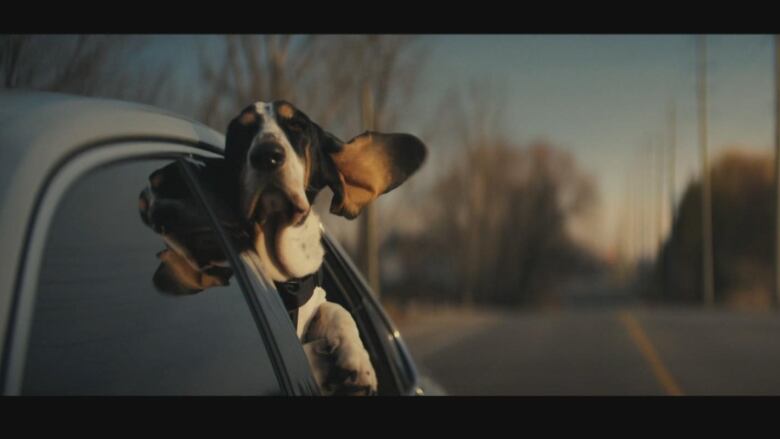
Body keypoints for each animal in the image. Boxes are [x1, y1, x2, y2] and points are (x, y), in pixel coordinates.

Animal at [142, 101, 426, 398]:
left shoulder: (316, 297)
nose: (267, 155)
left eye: (298, 126)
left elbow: (337, 309)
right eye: (241, 131)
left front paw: (357, 361)